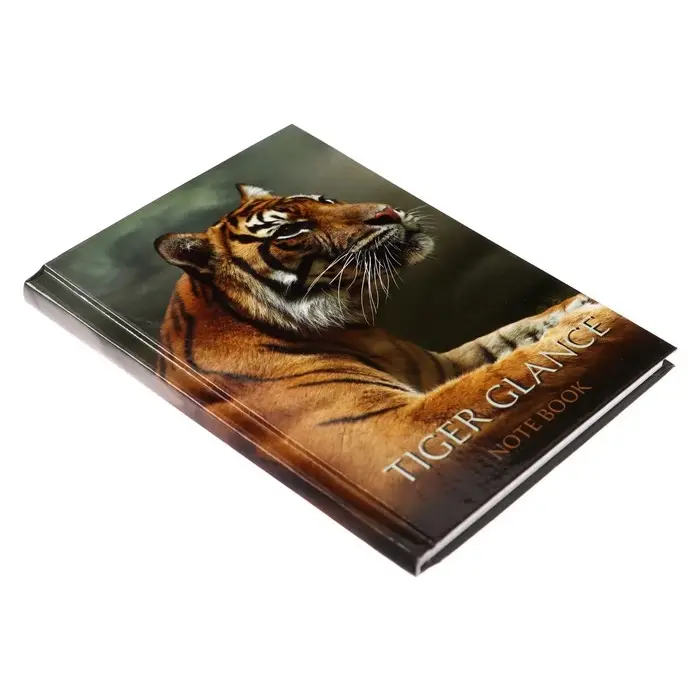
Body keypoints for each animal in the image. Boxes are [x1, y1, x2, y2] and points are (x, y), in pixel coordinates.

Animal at [154, 184, 638, 542]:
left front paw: (579, 311)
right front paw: (588, 321)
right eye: (292, 231)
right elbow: (510, 375)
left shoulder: (436, 368)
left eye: (323, 200)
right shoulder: (398, 430)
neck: (343, 325)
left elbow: (515, 343)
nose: (388, 212)